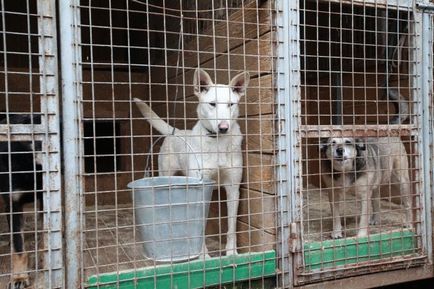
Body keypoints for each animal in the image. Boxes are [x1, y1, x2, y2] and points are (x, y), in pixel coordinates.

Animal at [134, 68, 249, 254]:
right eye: (212, 104)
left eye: (231, 104)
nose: (223, 128)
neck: (217, 143)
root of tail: (175, 131)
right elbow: (199, 229)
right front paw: (203, 256)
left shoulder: (233, 189)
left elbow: (231, 228)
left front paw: (232, 254)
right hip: (166, 176)